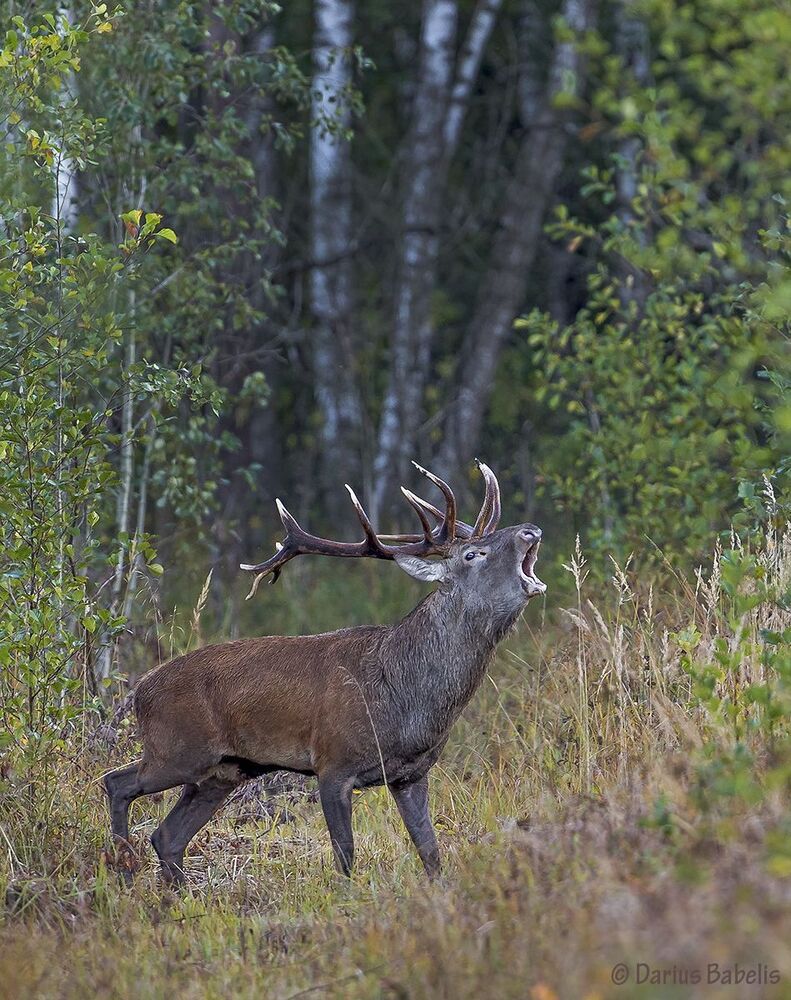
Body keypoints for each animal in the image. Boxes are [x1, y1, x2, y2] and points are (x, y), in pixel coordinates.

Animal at [104, 461, 545, 883]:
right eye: (473, 555)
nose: (531, 530)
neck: (406, 700)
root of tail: (140, 691)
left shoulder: (411, 774)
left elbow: (430, 853)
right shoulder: (333, 763)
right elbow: (345, 856)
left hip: (222, 770)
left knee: (167, 835)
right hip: (176, 750)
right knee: (117, 783)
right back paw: (124, 870)